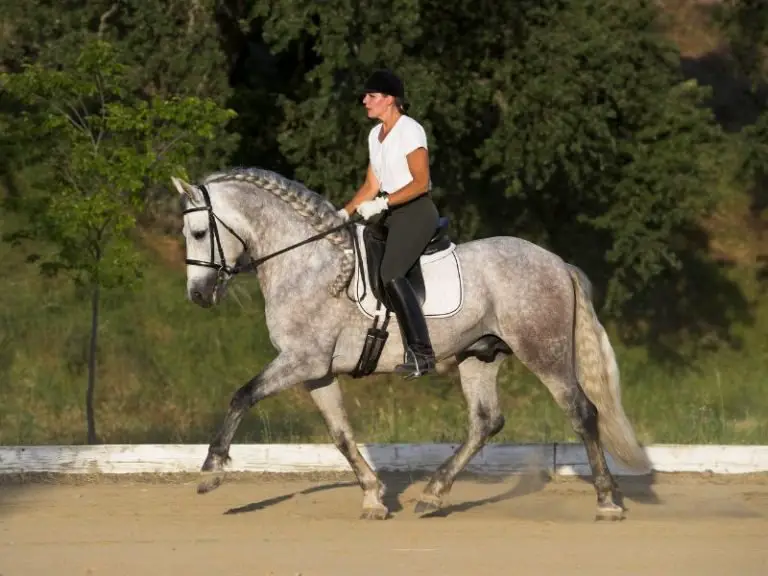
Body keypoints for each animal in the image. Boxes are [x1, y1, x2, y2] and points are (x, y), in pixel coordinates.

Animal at [170, 166, 651, 521]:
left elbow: (242, 395)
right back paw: (433, 494)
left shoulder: (299, 361)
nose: (198, 295)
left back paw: (607, 502)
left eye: (198, 233)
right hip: (480, 355)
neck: (306, 263)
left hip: (544, 353)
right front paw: (373, 497)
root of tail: (556, 262)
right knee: (485, 422)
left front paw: (211, 471)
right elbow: (340, 434)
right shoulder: (316, 371)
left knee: (582, 411)